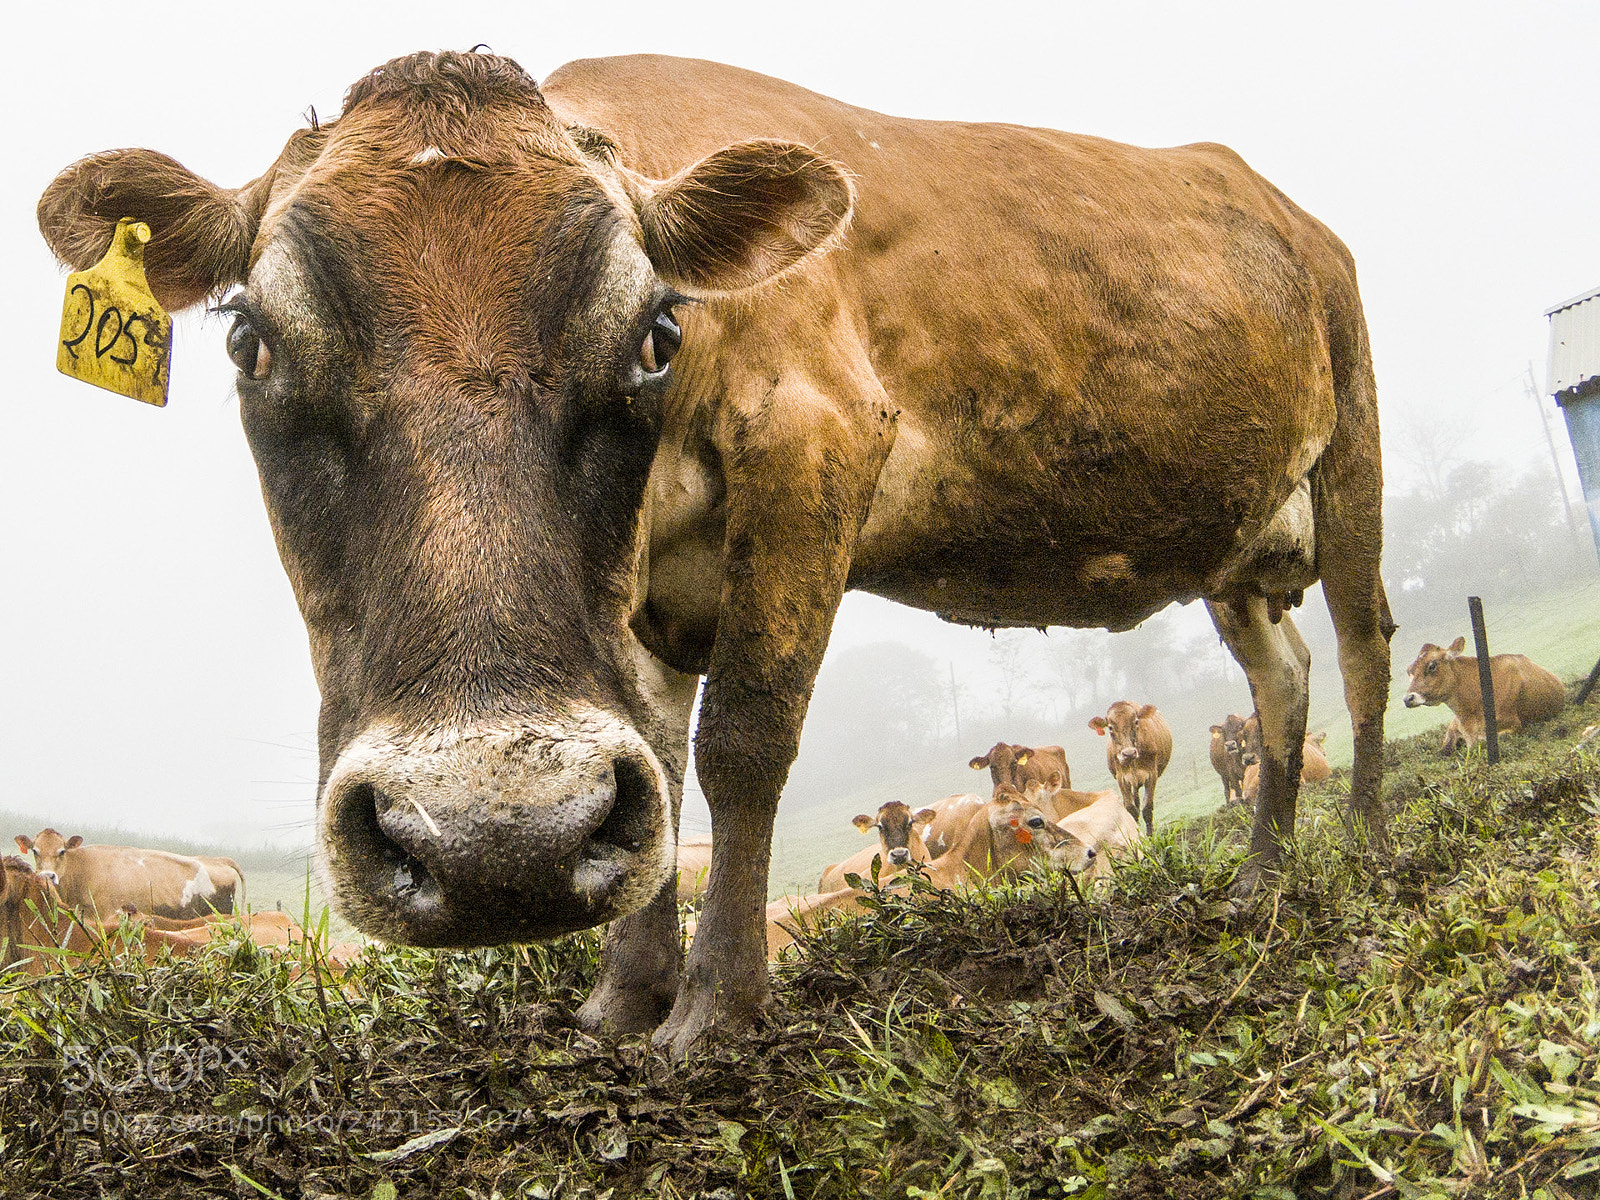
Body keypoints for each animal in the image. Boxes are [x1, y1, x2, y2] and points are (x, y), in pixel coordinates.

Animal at [1089, 702, 1173, 836]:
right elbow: (1131, 809)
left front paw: (1150, 836)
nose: (1128, 753)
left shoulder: (1151, 774)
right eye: (1110, 727)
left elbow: (1147, 808)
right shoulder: (1121, 778)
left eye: (1136, 721)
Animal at [1403, 638, 1566, 752]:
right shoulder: (1455, 728)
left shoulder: (1512, 725)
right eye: (1409, 671)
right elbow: (1445, 749)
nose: (1407, 698)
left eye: (1432, 665)